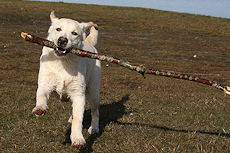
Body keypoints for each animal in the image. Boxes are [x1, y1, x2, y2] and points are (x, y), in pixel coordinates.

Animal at [31, 11, 100, 148]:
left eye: (74, 33)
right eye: (58, 29)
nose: (62, 40)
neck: (63, 62)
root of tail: (89, 42)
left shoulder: (78, 94)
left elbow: (78, 119)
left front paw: (77, 138)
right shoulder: (44, 84)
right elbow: (41, 95)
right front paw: (40, 108)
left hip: (93, 91)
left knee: (95, 111)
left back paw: (94, 128)